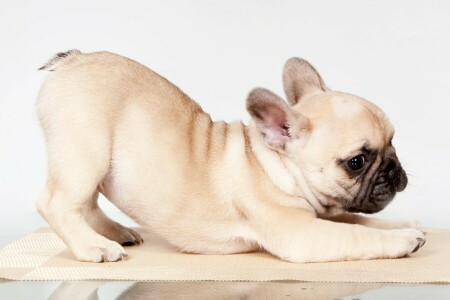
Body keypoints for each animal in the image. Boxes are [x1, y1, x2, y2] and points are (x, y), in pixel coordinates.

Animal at [36, 51, 426, 262]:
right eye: (356, 162)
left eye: (393, 140)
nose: (393, 169)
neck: (275, 165)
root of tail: (71, 60)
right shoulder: (302, 233)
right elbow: (358, 235)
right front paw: (402, 240)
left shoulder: (322, 216)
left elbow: (359, 222)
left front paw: (408, 226)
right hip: (85, 151)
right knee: (58, 203)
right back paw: (93, 247)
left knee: (86, 205)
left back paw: (115, 233)